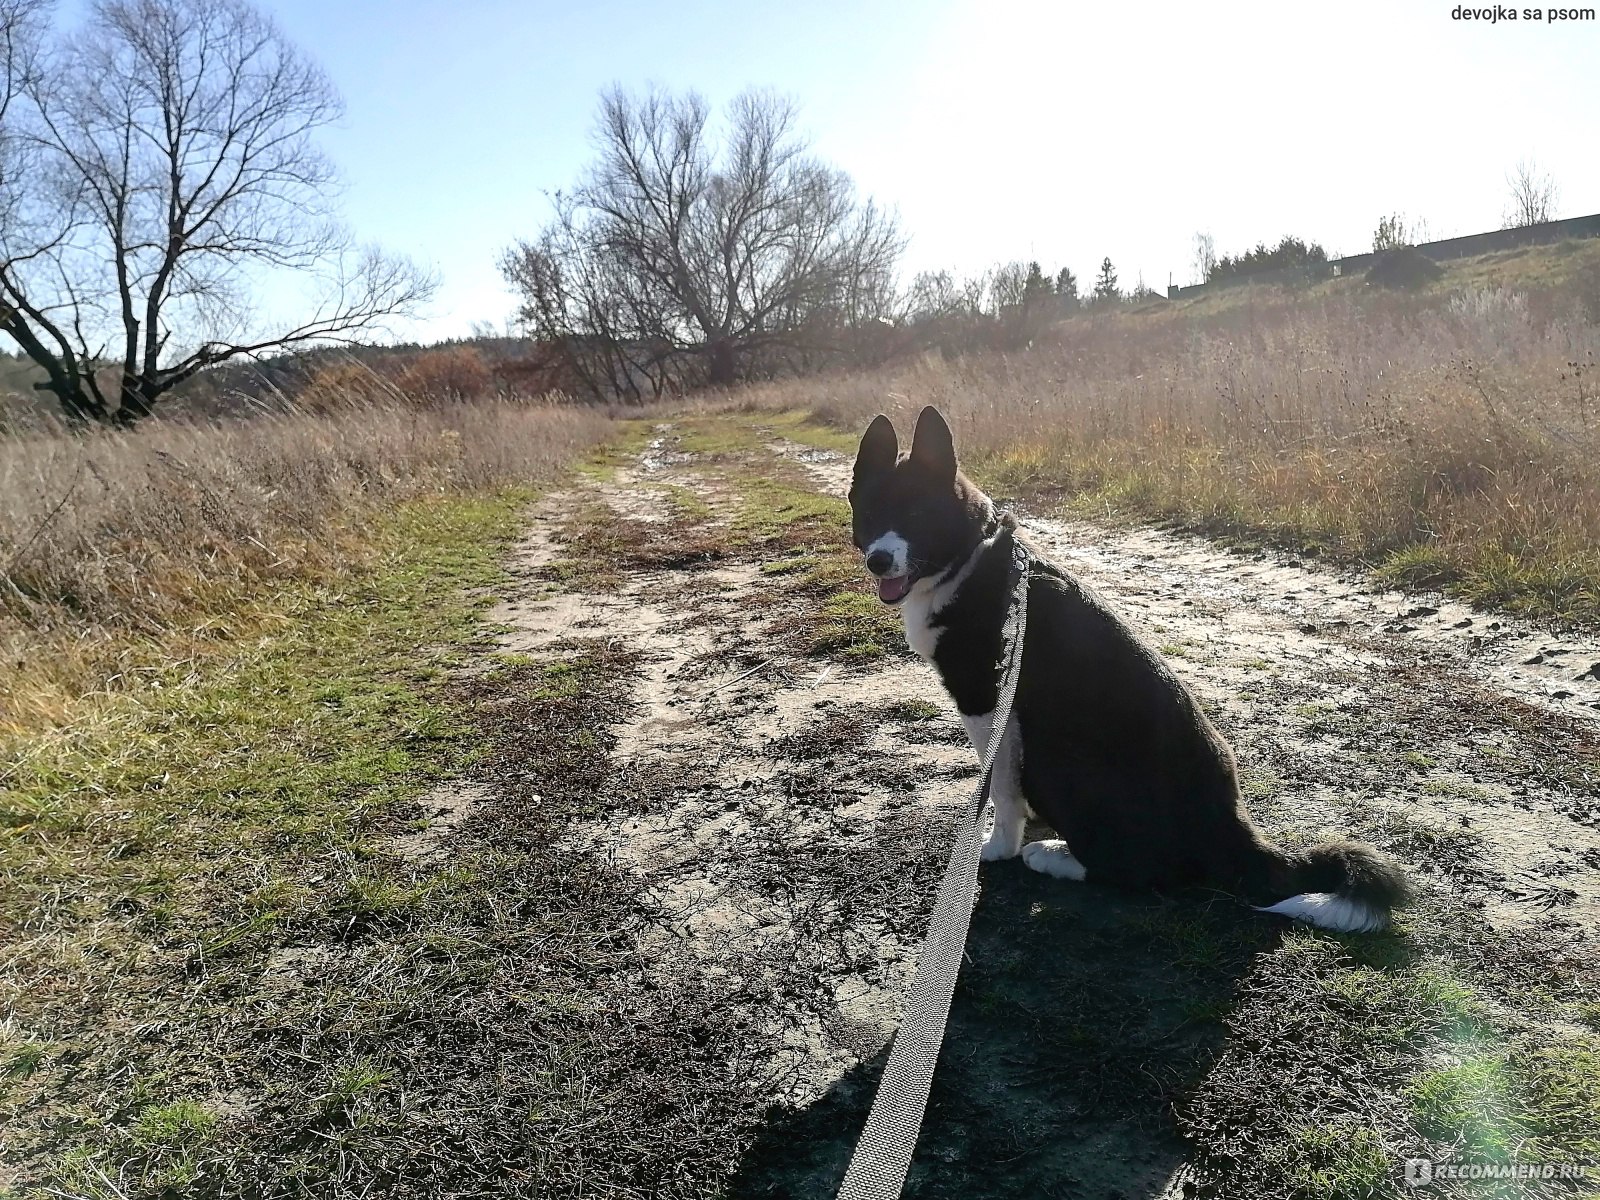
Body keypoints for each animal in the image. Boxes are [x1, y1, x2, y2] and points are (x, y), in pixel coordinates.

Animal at [844, 409, 1408, 934]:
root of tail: (1230, 828)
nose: (879, 560)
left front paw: (999, 846)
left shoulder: (990, 705)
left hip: (1060, 756)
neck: (967, 559)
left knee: (1140, 870)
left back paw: (1053, 856)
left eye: (918, 512)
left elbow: (1001, 790)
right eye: (870, 513)